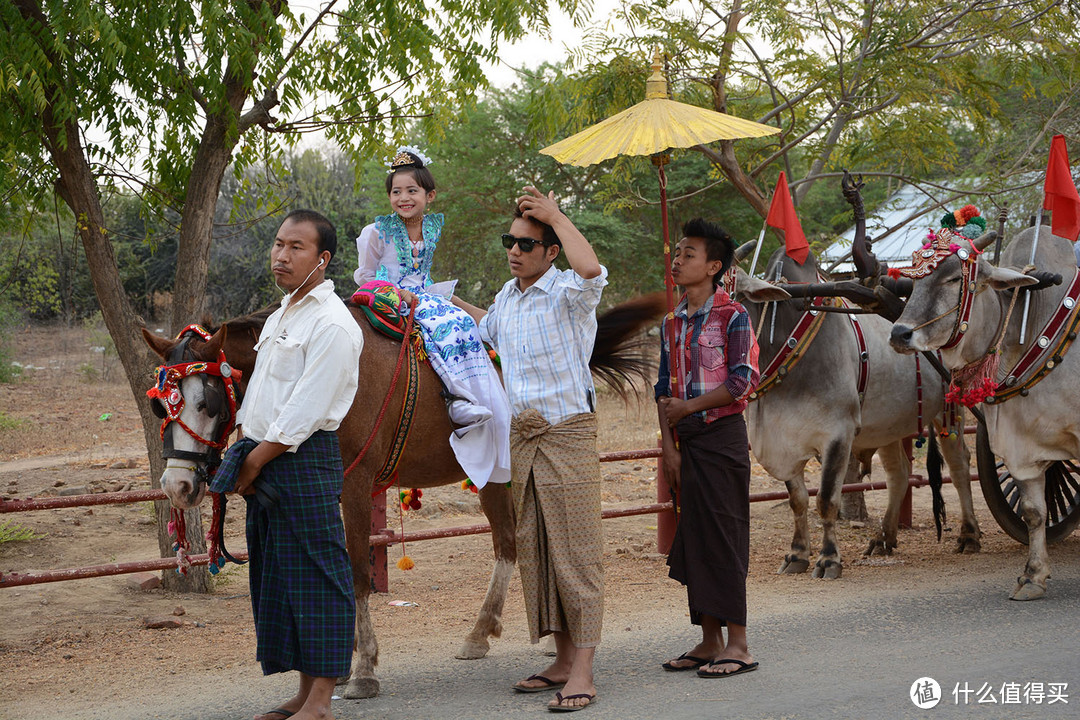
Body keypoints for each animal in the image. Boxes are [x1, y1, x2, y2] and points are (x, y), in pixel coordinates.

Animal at [141, 291, 665, 699]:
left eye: (208, 401)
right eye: (158, 407)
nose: (177, 486)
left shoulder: (353, 485)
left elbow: (356, 574)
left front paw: (363, 670)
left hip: (502, 472)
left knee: (513, 543)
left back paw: (490, 632)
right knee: (510, 542)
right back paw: (487, 632)